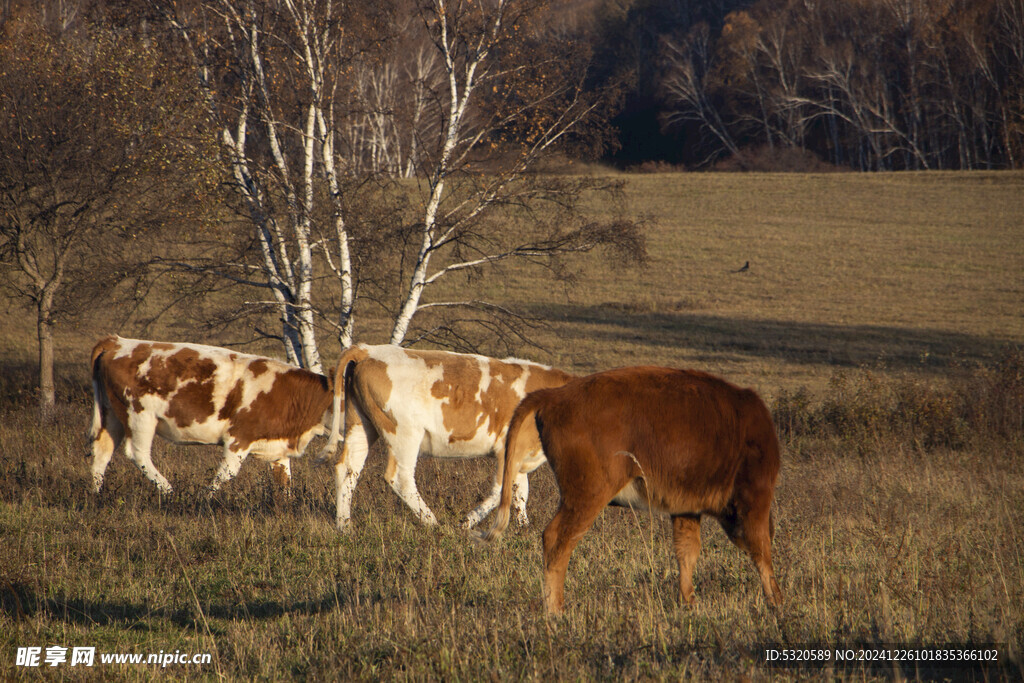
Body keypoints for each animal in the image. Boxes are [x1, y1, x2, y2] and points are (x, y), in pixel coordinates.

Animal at [89, 335, 333, 491]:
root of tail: (117, 342)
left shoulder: (278, 447)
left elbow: (284, 484)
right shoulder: (238, 439)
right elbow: (225, 476)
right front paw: (206, 501)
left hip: (112, 414)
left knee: (102, 452)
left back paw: (96, 495)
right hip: (139, 415)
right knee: (137, 453)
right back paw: (168, 491)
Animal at [317, 344, 577, 532]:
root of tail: (367, 349)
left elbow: (521, 492)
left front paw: (524, 528)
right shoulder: (507, 449)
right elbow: (502, 490)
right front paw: (466, 523)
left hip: (361, 424)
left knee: (347, 470)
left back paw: (344, 527)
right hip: (405, 433)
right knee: (400, 478)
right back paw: (434, 524)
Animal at [481, 366, 782, 618]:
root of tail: (554, 396)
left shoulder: (686, 509)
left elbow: (687, 552)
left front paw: (689, 602)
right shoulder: (755, 497)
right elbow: (761, 549)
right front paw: (777, 601)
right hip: (587, 496)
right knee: (557, 539)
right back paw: (556, 611)